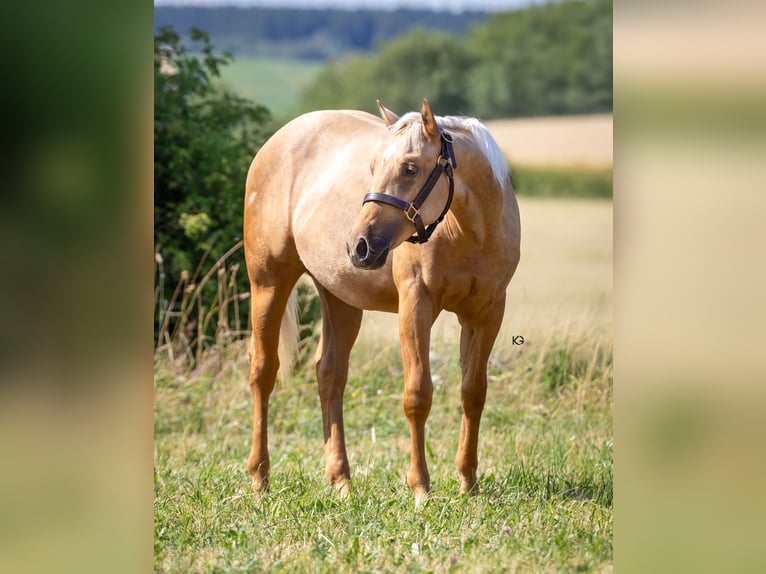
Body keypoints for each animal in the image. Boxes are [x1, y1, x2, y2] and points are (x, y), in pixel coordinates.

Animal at [243, 99, 520, 501]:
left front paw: (468, 482)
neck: (467, 233)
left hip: (339, 297)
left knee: (329, 373)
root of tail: (276, 141)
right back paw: (260, 477)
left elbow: (473, 392)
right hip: (268, 282)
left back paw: (341, 480)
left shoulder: (486, 313)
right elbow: (417, 395)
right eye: (373, 167)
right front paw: (420, 486)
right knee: (263, 370)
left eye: (410, 168)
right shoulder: (415, 306)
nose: (358, 245)